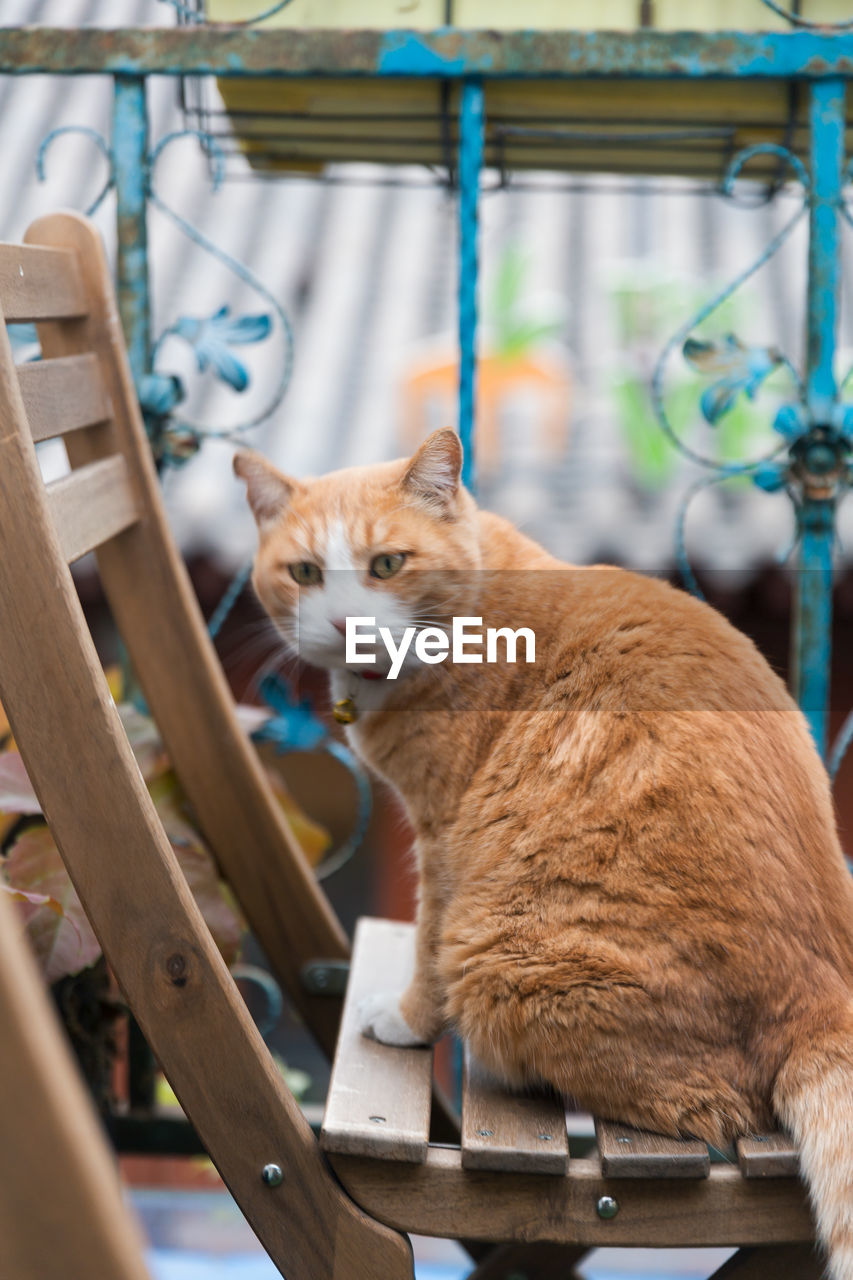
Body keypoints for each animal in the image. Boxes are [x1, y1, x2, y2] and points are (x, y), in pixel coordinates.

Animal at [236, 430, 850, 1280]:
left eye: (387, 564)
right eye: (303, 573)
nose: (343, 620)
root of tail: (821, 998)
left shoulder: (442, 838)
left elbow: (425, 949)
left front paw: (406, 1021)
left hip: (498, 959)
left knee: (715, 1105)